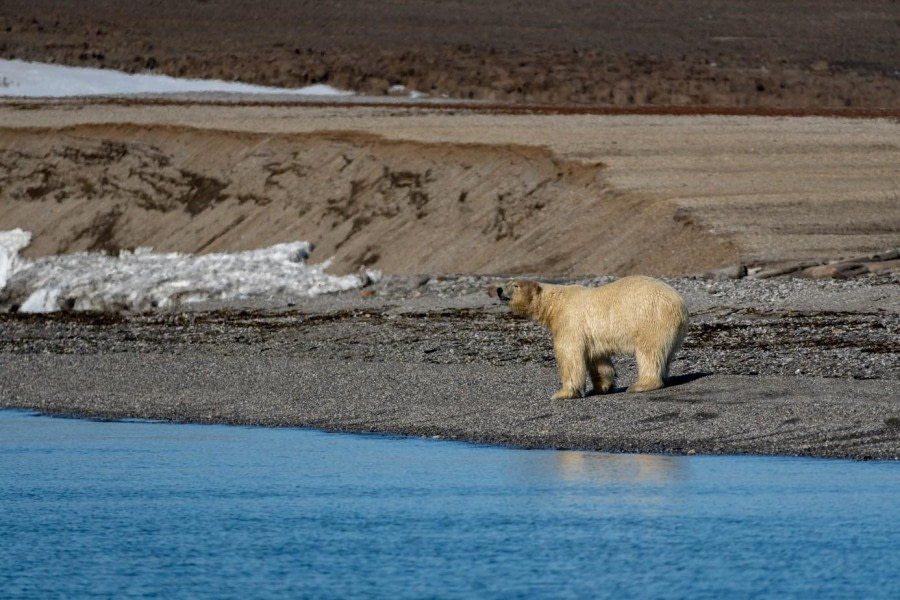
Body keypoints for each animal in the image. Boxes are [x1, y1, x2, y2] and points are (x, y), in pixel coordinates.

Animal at [492, 276, 688, 398]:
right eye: (508, 282)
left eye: (515, 286)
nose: (499, 290)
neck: (555, 304)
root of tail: (681, 305)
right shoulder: (592, 335)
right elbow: (598, 360)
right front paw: (602, 387)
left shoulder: (570, 321)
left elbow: (569, 355)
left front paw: (562, 393)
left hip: (650, 318)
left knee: (649, 352)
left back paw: (641, 384)